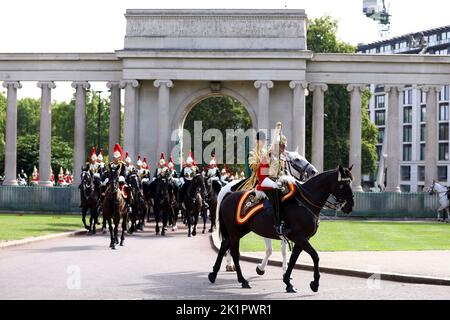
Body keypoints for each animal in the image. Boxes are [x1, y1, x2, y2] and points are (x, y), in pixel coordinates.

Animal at [208, 166, 356, 294]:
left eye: (350, 183)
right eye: (342, 185)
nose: (349, 206)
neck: (304, 202)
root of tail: (229, 194)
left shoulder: (301, 239)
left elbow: (293, 259)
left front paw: (288, 282)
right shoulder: (300, 237)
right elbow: (315, 256)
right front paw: (315, 283)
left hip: (240, 231)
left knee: (224, 245)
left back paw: (213, 274)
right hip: (235, 232)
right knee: (234, 253)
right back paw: (243, 280)